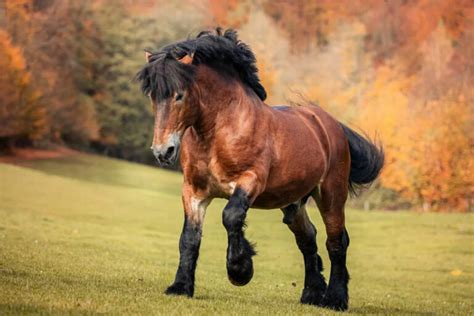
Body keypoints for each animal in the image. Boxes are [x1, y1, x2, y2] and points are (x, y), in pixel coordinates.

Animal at [137, 27, 386, 312]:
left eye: (179, 95)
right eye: (153, 96)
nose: (162, 151)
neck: (219, 131)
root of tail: (330, 124)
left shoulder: (250, 180)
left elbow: (231, 216)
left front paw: (240, 270)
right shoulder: (194, 192)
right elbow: (189, 238)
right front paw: (180, 287)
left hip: (331, 195)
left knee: (336, 242)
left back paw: (335, 299)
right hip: (293, 204)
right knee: (308, 239)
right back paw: (311, 294)